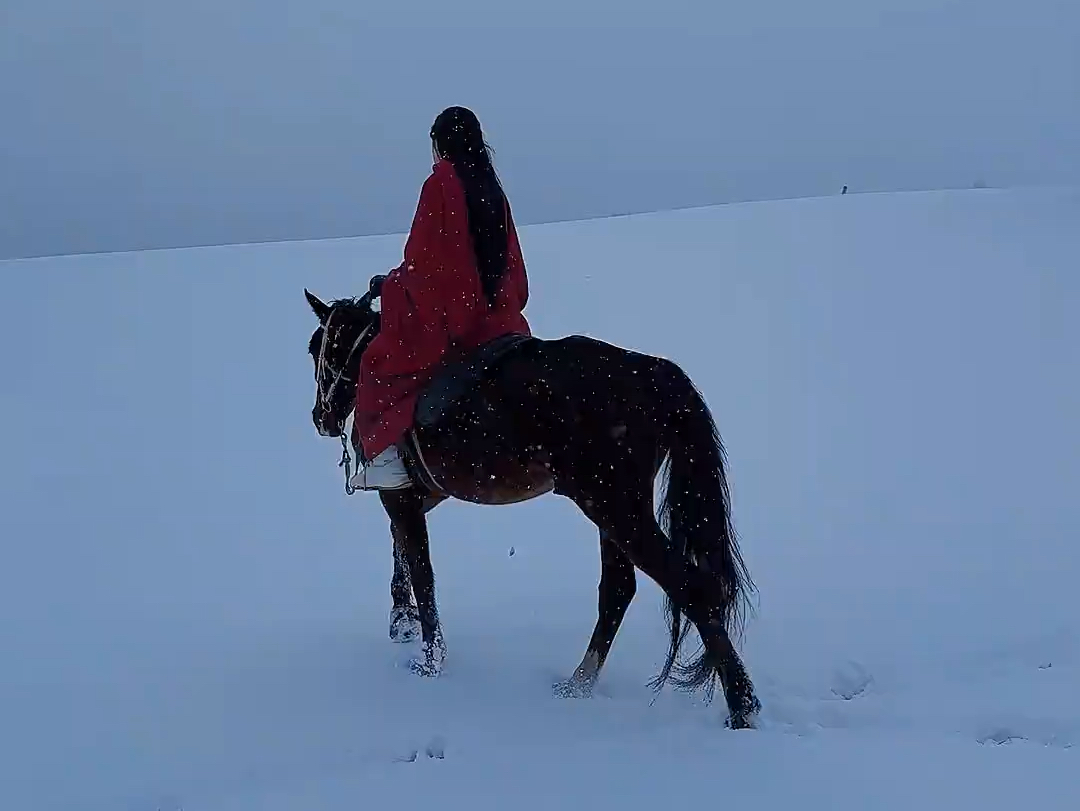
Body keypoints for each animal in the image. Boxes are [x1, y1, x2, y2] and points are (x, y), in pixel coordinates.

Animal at [302, 287, 760, 730]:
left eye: (317, 348)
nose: (320, 417)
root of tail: (652, 374)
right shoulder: (420, 496)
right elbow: (400, 551)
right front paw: (401, 618)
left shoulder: (399, 497)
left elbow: (421, 572)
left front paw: (430, 662)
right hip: (613, 511)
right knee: (619, 590)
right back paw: (578, 684)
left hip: (615, 508)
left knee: (690, 587)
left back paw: (741, 707)